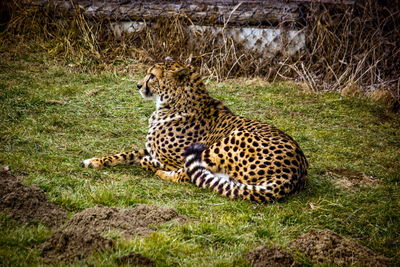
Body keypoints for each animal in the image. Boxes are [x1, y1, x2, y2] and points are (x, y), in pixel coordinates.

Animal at [79, 60, 308, 203]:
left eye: (152, 76)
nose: (137, 85)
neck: (174, 103)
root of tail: (294, 172)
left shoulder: (176, 156)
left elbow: (154, 162)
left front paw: (154, 165)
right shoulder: (149, 149)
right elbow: (125, 154)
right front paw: (95, 161)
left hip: (230, 140)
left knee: (188, 174)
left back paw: (161, 172)